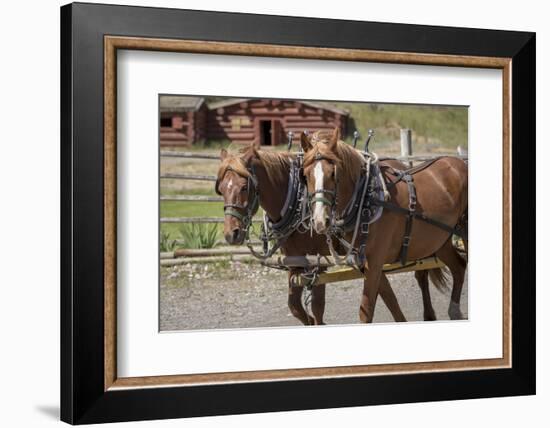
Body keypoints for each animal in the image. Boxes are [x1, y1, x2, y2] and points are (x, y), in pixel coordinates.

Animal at [218, 144, 454, 324]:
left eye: (244, 187)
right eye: (220, 189)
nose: (232, 234)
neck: (296, 201)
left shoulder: (319, 261)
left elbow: (317, 306)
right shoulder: (295, 261)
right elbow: (295, 307)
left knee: (418, 275)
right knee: (403, 281)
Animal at [302, 129, 470, 322]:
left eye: (333, 174)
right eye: (305, 175)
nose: (320, 220)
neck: (366, 198)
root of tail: (460, 162)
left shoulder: (375, 261)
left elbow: (366, 311)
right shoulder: (367, 264)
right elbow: (391, 300)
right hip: (439, 239)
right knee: (459, 266)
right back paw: (454, 311)